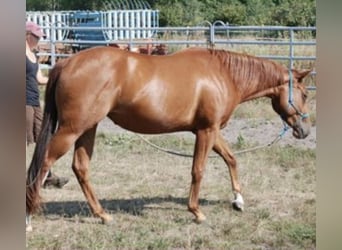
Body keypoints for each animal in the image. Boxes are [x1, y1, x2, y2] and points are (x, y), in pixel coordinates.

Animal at [25, 46, 312, 229]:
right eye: (305, 94)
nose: (305, 130)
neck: (223, 73)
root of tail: (66, 63)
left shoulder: (209, 130)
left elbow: (231, 159)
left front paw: (238, 200)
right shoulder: (207, 131)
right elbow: (198, 170)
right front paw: (196, 212)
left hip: (88, 128)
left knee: (81, 168)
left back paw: (102, 215)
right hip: (72, 128)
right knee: (44, 164)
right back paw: (28, 218)